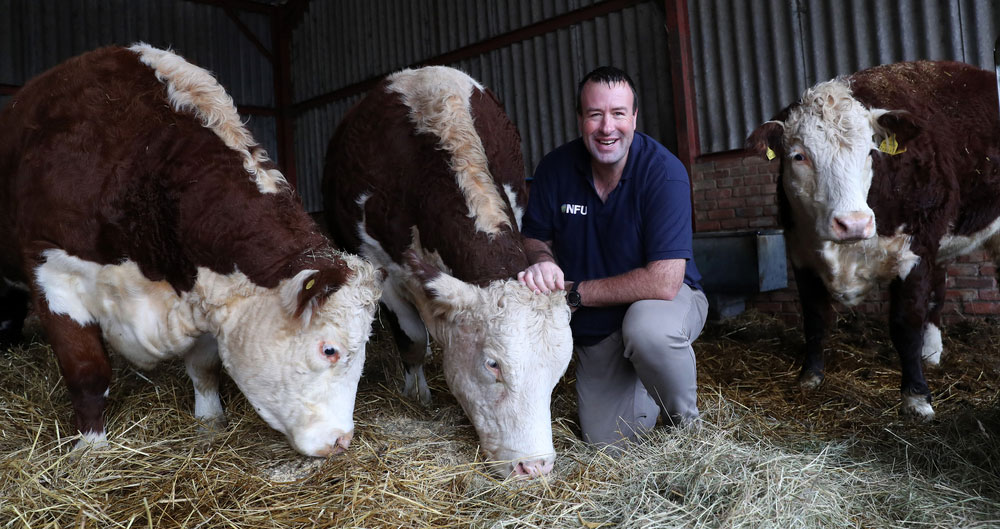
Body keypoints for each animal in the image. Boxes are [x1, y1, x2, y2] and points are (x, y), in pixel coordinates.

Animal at [0, 45, 382, 456]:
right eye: (329, 350)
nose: (341, 440)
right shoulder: (51, 271)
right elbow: (87, 371)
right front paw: (91, 448)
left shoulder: (206, 292)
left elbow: (205, 367)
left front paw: (210, 423)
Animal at [324, 67, 576, 478]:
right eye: (492, 364)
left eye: (559, 368)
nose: (535, 466)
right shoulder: (380, 266)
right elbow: (412, 339)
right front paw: (417, 394)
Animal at [748, 59, 1000, 418]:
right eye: (798, 156)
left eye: (870, 153)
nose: (853, 223)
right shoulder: (800, 252)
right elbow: (815, 318)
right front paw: (810, 377)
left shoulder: (916, 249)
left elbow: (905, 323)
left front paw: (916, 397)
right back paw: (931, 354)